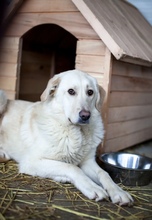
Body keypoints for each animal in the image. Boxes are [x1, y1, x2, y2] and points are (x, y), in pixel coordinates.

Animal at [0, 70, 133, 206]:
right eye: (71, 91)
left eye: (90, 92)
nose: (85, 116)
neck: (77, 133)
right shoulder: (31, 162)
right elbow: (72, 167)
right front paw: (92, 187)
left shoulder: (88, 162)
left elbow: (104, 173)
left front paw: (118, 192)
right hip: (2, 97)